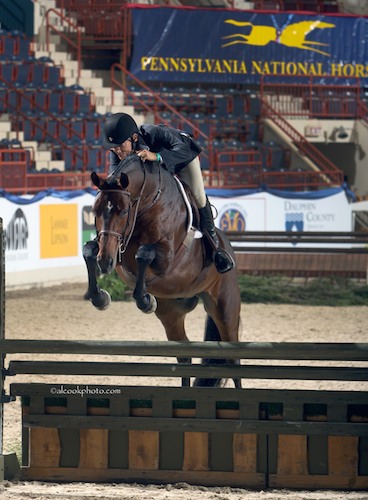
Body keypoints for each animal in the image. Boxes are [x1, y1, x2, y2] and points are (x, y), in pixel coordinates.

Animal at [83, 154, 242, 388]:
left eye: (123, 211)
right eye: (95, 211)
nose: (105, 262)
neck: (147, 202)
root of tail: (228, 246)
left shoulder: (166, 257)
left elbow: (144, 253)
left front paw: (145, 300)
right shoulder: (114, 249)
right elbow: (88, 251)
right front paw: (100, 297)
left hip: (225, 308)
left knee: (234, 359)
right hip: (171, 313)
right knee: (184, 354)